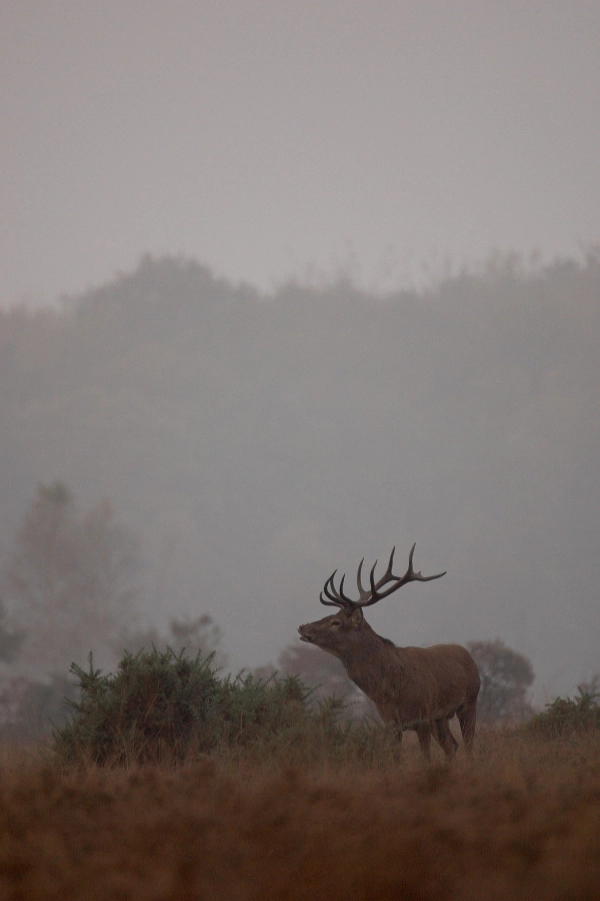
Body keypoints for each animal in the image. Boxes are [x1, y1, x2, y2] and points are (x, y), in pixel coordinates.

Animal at [298, 544, 480, 759]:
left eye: (336, 622)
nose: (303, 627)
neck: (391, 689)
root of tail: (469, 656)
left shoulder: (423, 717)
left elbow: (426, 759)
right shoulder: (392, 724)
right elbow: (395, 758)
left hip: (469, 702)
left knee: (468, 746)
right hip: (441, 719)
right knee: (452, 747)